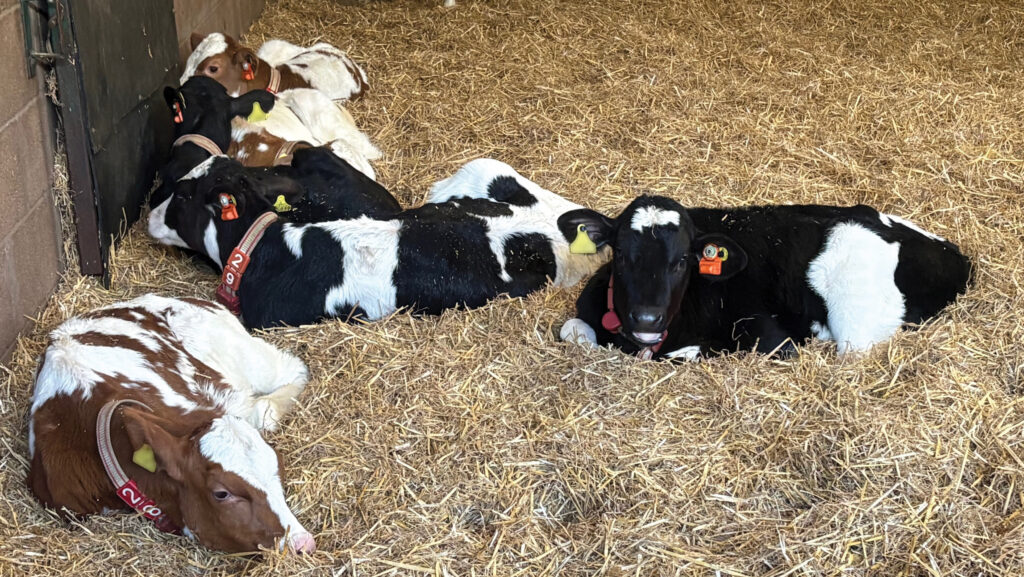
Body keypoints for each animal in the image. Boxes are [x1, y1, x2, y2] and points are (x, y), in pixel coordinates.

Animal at [558, 196, 971, 360]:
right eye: (620, 254)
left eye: (683, 261)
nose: (646, 318)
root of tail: (957, 257)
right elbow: (571, 329)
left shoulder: (774, 338)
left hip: (857, 326)